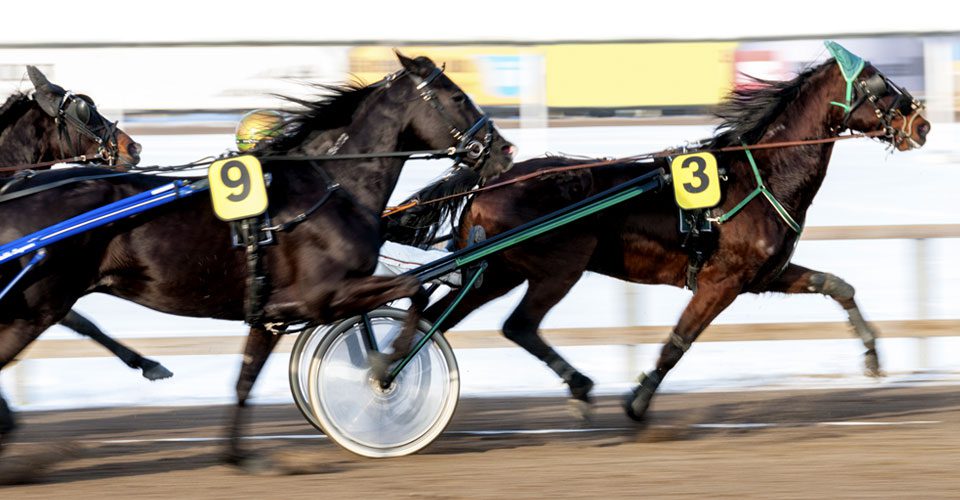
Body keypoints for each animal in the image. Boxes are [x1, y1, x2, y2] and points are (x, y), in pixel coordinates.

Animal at [386, 50, 930, 421]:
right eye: (879, 85)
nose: (921, 123)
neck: (759, 177)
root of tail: (491, 181)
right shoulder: (722, 281)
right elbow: (678, 341)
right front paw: (638, 401)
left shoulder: (762, 275)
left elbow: (838, 285)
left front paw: (873, 357)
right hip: (559, 268)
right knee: (517, 326)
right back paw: (576, 388)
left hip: (495, 271)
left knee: (439, 318)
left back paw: (388, 369)